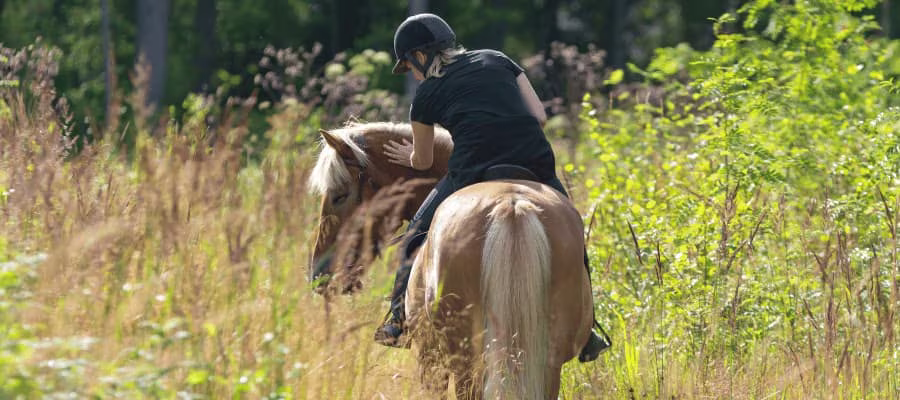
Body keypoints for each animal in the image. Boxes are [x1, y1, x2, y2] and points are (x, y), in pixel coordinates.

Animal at [308, 122, 594, 399]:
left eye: (339, 195)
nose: (319, 275)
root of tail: (511, 205)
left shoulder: (430, 359)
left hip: (465, 361)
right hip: (545, 362)